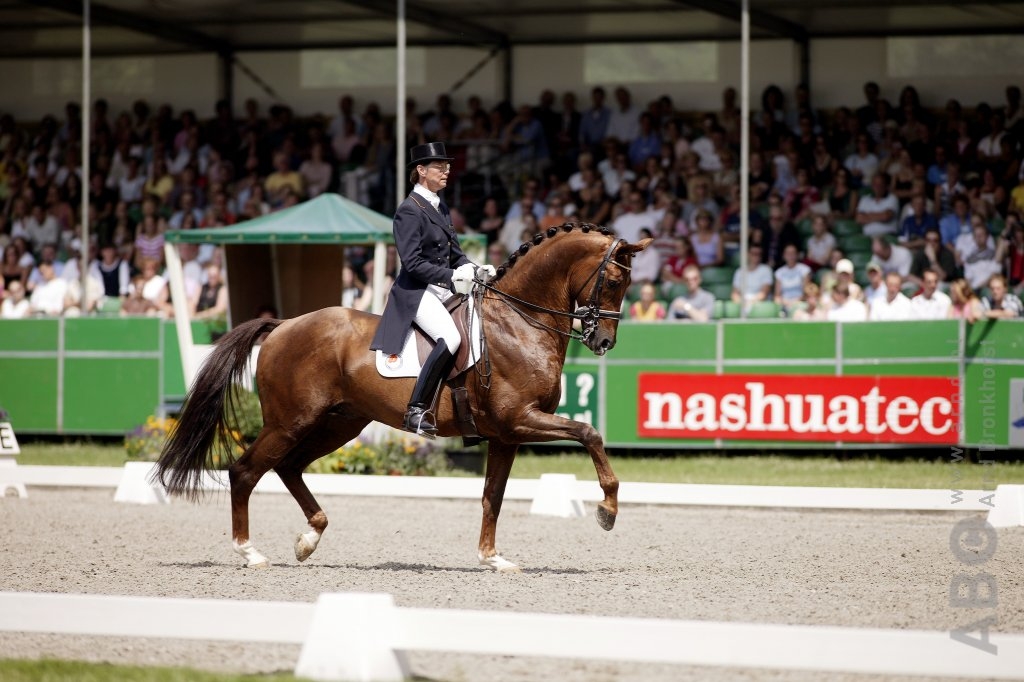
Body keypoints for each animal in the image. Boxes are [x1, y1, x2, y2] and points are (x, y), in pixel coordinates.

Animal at [155, 223, 651, 572]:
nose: (603, 341)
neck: (519, 321)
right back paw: (249, 553)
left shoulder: (505, 435)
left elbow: (493, 496)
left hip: (338, 423)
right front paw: (607, 509)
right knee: (244, 472)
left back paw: (309, 539)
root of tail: (282, 325)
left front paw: (492, 558)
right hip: (290, 422)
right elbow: (589, 432)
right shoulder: (520, 419)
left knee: (288, 467)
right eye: (611, 281)